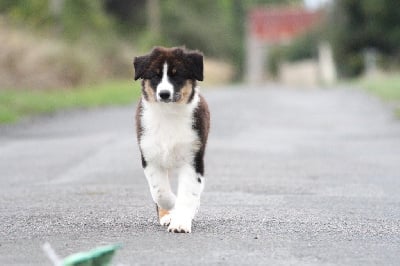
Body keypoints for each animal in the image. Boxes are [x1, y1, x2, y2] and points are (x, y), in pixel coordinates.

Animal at [134, 46, 211, 233]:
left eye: (177, 75)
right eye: (155, 76)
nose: (164, 94)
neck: (168, 114)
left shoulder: (193, 158)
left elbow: (188, 192)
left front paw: (181, 224)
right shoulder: (150, 156)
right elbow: (159, 191)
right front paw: (172, 206)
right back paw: (167, 216)